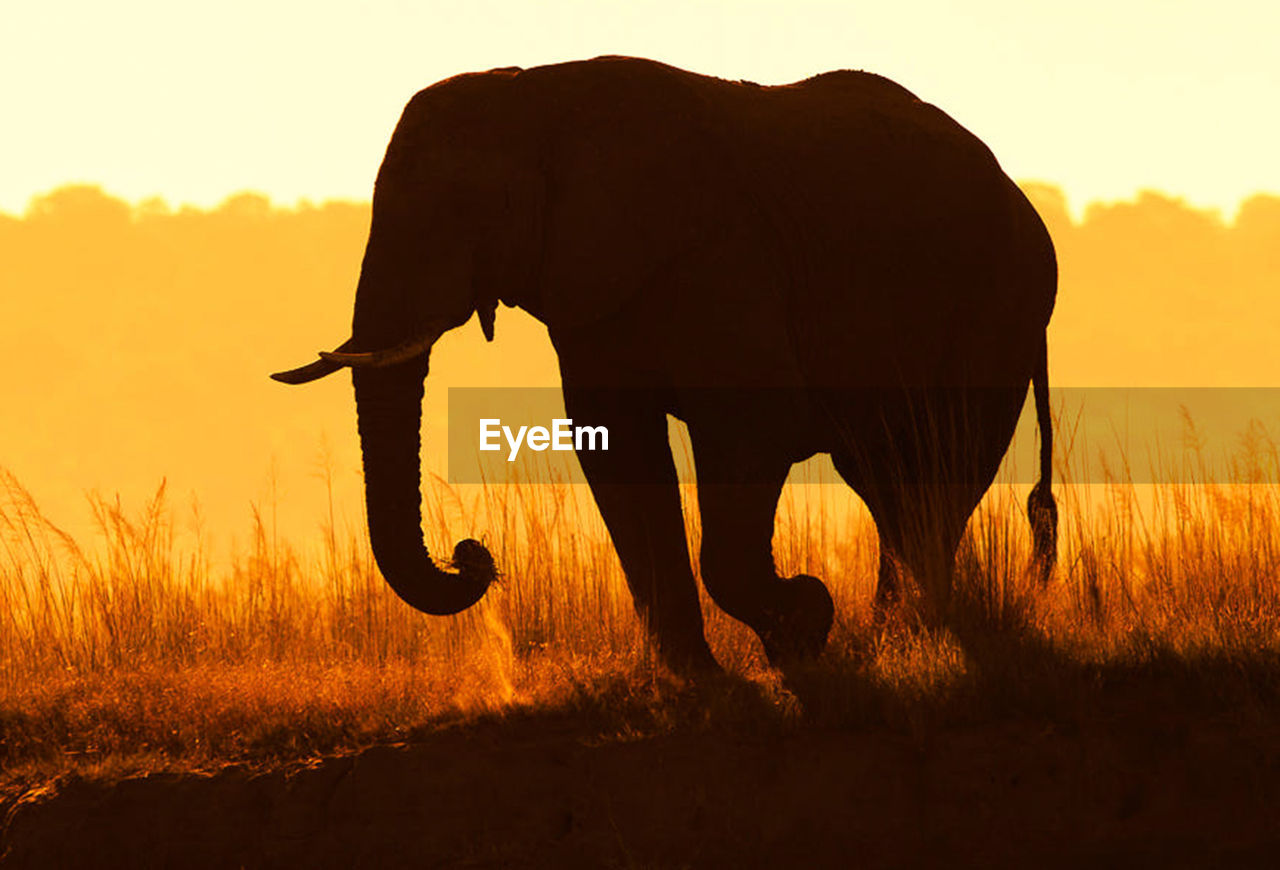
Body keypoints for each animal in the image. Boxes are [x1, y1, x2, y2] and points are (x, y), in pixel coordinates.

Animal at [272, 55, 1059, 670]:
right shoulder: (593, 288)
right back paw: (893, 640)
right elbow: (617, 448)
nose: (475, 555)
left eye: (465, 208)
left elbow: (754, 425)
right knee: (890, 478)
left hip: (1001, 307)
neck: (536, 97)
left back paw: (905, 640)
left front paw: (803, 628)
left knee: (938, 470)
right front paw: (700, 676)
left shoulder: (722, 256)